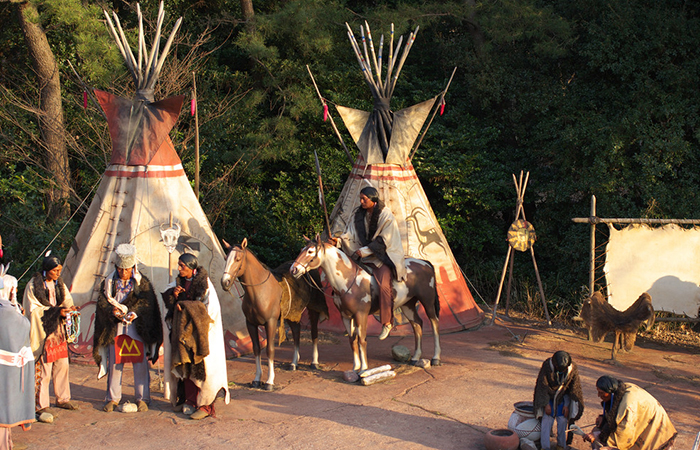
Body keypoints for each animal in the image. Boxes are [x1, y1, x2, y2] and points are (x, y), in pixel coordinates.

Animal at [221, 239, 328, 390]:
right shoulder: (251, 323)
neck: (259, 291)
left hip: (313, 308)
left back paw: (314, 362)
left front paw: (269, 381)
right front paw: (257, 379)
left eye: (238, 258)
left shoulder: (270, 322)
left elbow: (270, 350)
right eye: (226, 258)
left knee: (314, 332)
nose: (225, 282)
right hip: (291, 314)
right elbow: (256, 349)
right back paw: (294, 363)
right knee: (296, 332)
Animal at [288, 236, 440, 372]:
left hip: (427, 301)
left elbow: (362, 340)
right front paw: (355, 367)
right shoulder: (346, 316)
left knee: (434, 323)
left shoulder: (361, 314)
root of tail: (425, 263)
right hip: (407, 304)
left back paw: (436, 358)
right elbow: (352, 341)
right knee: (417, 324)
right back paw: (415, 357)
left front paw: (364, 369)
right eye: (302, 250)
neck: (348, 280)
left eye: (310, 251)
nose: (293, 270)